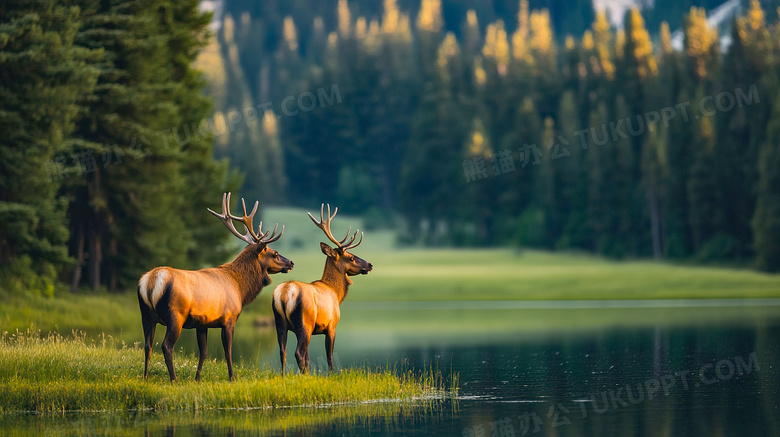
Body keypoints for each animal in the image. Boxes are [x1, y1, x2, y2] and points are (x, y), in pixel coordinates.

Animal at [137, 192, 292, 380]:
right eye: (274, 253)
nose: (291, 263)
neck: (240, 289)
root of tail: (151, 281)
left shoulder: (202, 323)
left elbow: (203, 352)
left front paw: (197, 378)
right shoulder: (229, 318)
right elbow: (228, 352)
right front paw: (232, 377)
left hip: (146, 315)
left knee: (148, 345)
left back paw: (145, 377)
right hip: (175, 315)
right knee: (166, 346)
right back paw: (173, 379)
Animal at [272, 203, 374, 372]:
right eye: (351, 258)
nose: (370, 264)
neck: (336, 293)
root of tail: (285, 293)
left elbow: (308, 358)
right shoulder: (331, 326)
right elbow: (330, 357)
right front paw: (333, 374)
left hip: (279, 323)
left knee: (283, 352)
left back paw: (285, 375)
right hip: (304, 323)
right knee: (298, 353)